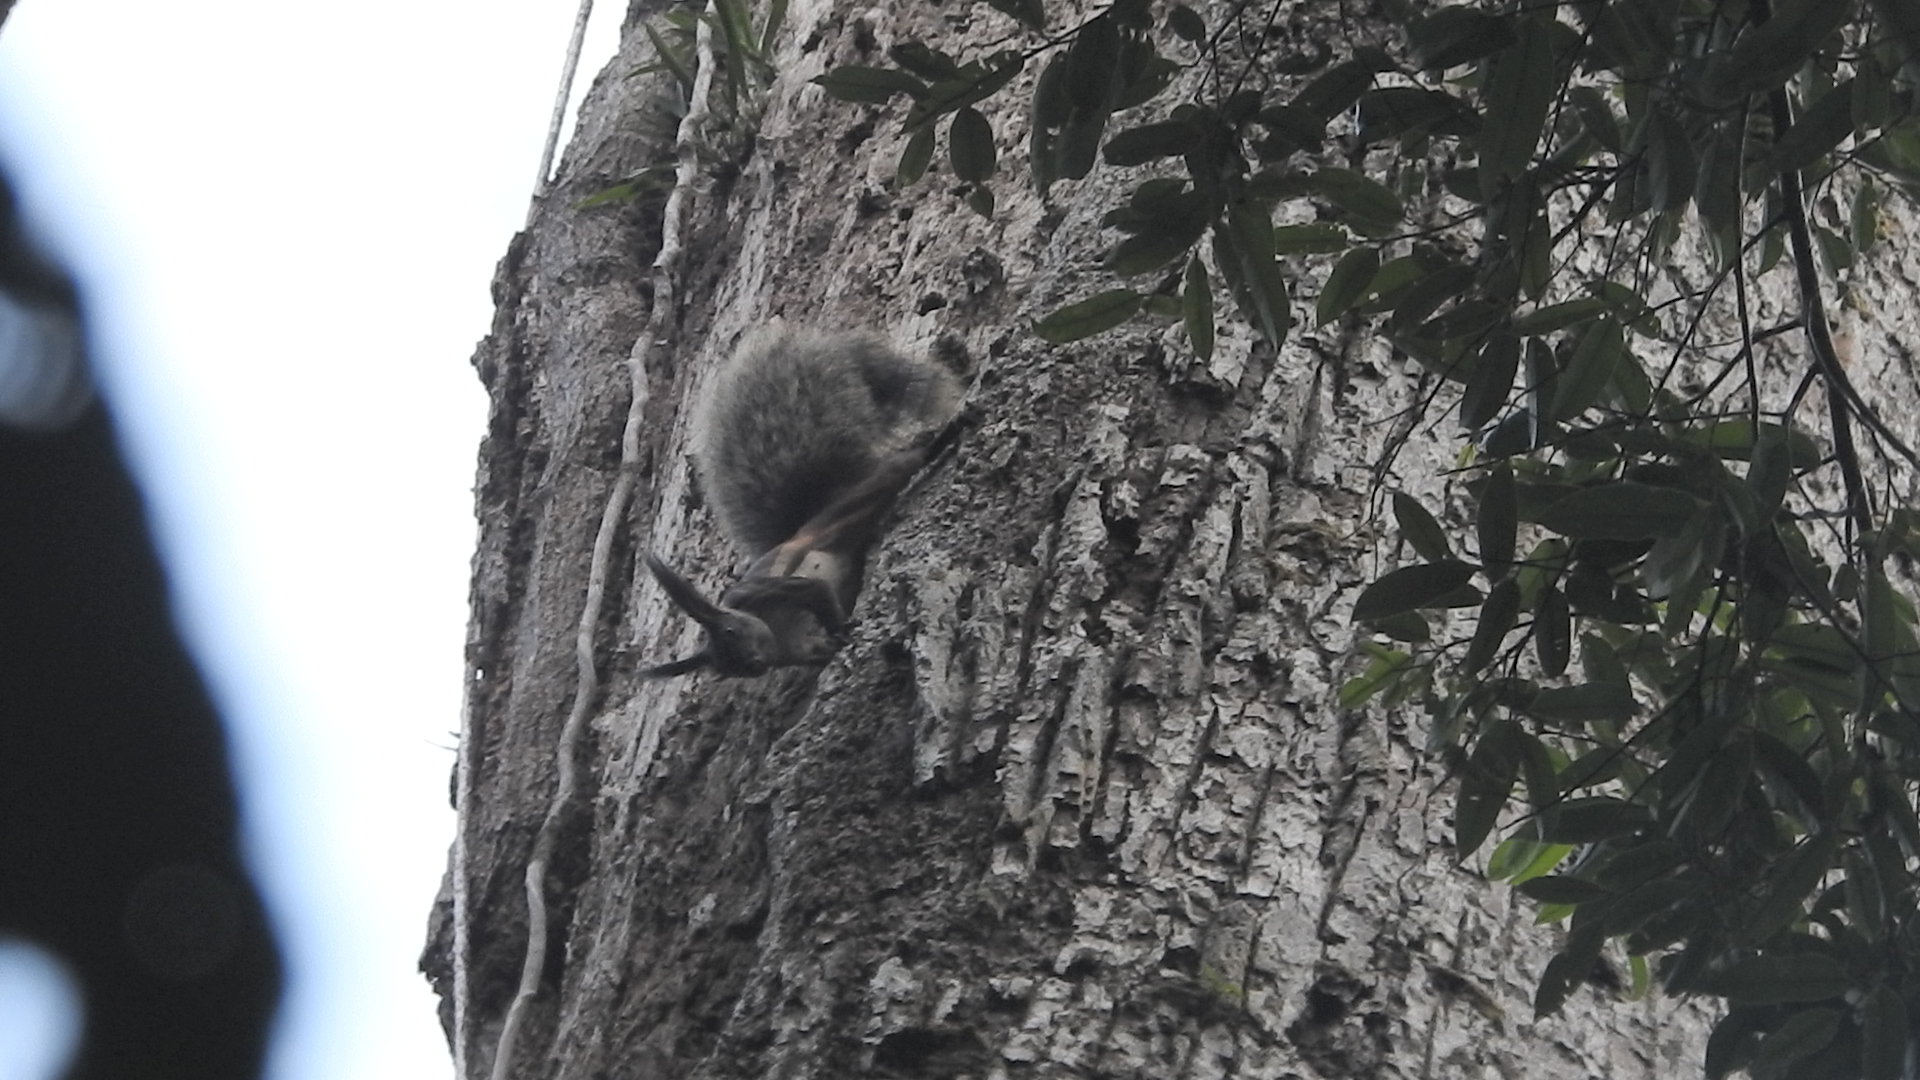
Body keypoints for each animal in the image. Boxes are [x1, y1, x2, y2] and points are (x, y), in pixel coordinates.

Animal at [642, 327, 960, 678]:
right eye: (726, 668)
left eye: (731, 631)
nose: (753, 664)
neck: (776, 636)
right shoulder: (800, 650)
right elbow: (818, 649)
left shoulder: (754, 592)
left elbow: (811, 589)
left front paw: (841, 629)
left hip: (843, 514)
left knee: (899, 468)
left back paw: (948, 434)